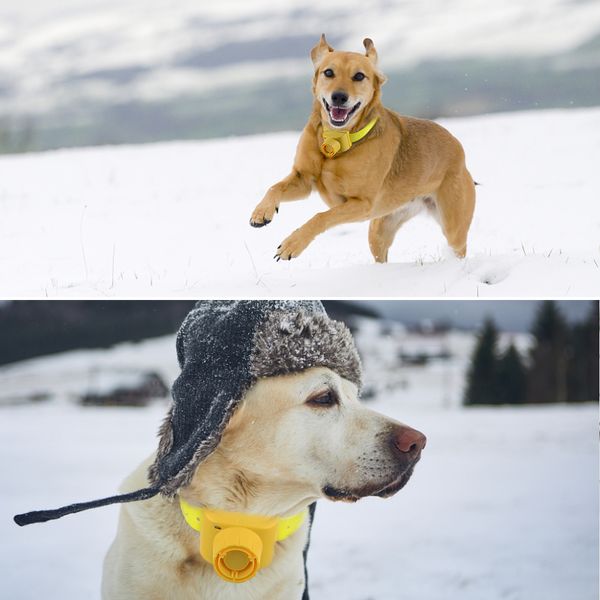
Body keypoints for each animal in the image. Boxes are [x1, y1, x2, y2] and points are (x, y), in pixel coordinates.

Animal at [248, 35, 474, 262]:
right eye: (328, 72)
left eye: (359, 76)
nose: (339, 96)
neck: (338, 141)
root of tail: (458, 147)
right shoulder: (303, 179)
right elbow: (274, 187)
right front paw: (261, 212)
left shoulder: (362, 204)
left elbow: (321, 217)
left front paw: (291, 245)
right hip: (380, 229)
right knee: (381, 254)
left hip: (453, 227)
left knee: (459, 248)